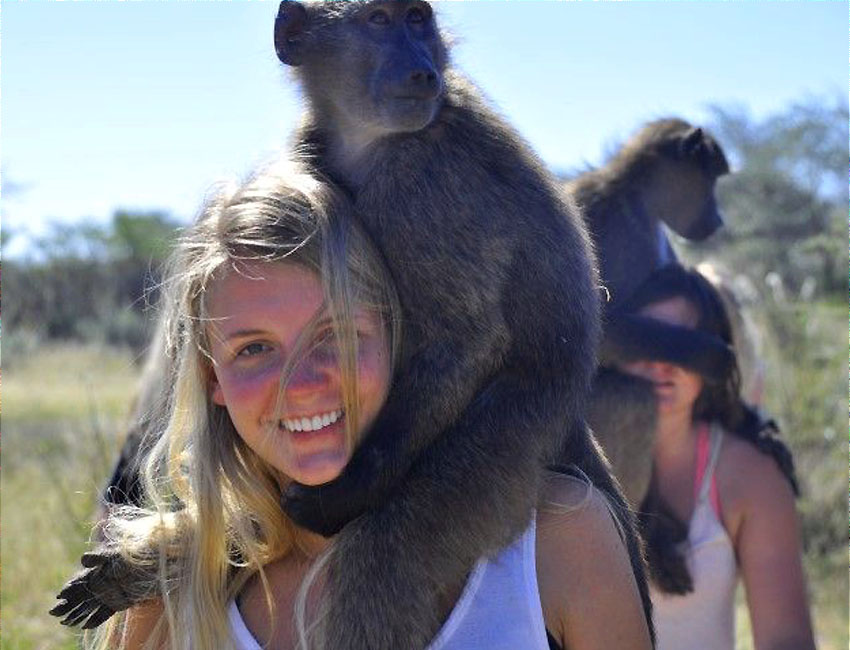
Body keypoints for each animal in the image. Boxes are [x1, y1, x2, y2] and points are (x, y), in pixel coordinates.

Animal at [562, 118, 729, 505]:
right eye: (711, 180)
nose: (719, 219)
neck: (639, 196)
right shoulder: (610, 218)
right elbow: (600, 329)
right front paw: (711, 355)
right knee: (636, 400)